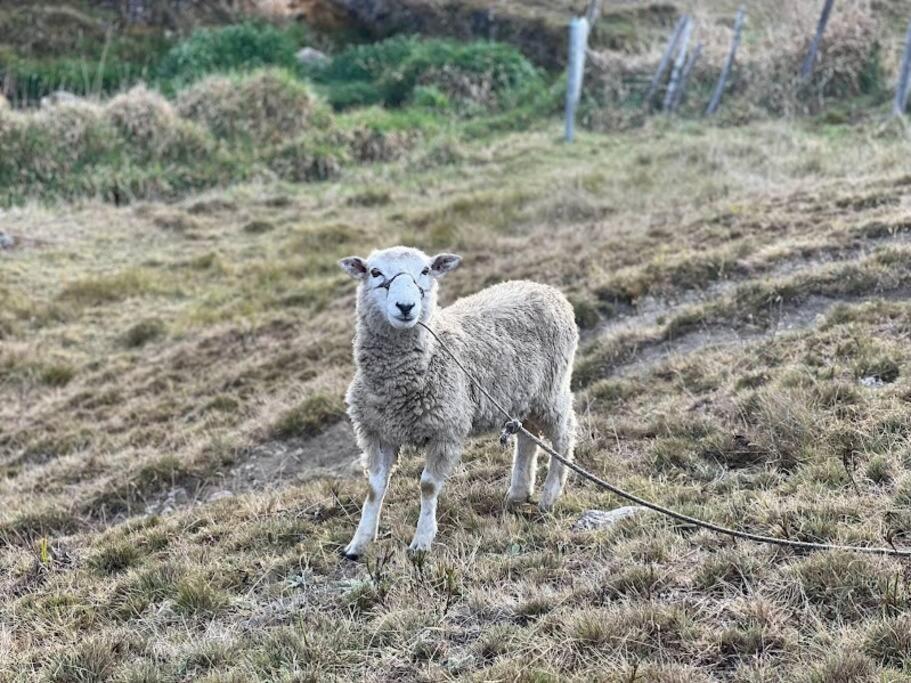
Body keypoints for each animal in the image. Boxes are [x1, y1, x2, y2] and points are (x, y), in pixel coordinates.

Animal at [338, 246, 580, 560]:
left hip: (551, 390)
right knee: (527, 439)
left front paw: (422, 541)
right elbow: (374, 488)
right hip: (522, 395)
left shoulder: (446, 429)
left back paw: (549, 497)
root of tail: (546, 289)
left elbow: (428, 486)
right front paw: (359, 543)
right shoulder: (376, 432)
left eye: (425, 271)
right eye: (375, 272)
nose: (406, 306)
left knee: (564, 435)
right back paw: (517, 494)